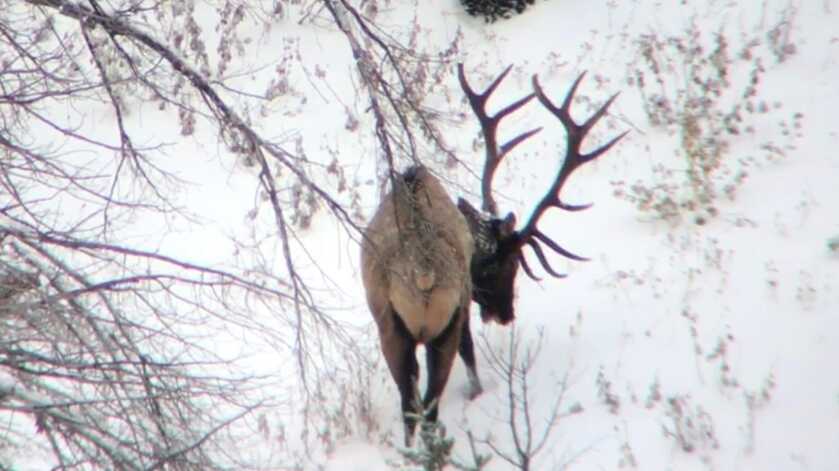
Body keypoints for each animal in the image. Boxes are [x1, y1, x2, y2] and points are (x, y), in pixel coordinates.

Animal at [360, 64, 626, 445]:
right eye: (509, 264)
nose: (505, 313)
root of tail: (423, 273)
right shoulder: (462, 305)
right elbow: (469, 350)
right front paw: (477, 390)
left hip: (390, 325)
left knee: (410, 405)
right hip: (441, 321)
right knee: (430, 402)